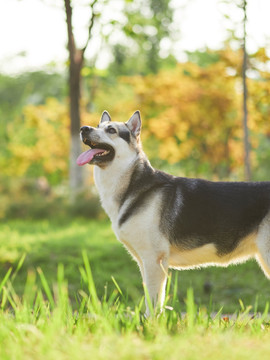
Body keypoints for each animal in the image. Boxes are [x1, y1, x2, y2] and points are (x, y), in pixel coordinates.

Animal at [76, 109, 270, 316]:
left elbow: (153, 303)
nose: (84, 128)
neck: (132, 185)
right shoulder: (145, 263)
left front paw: (151, 323)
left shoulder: (154, 260)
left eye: (111, 130)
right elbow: (152, 300)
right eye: (97, 126)